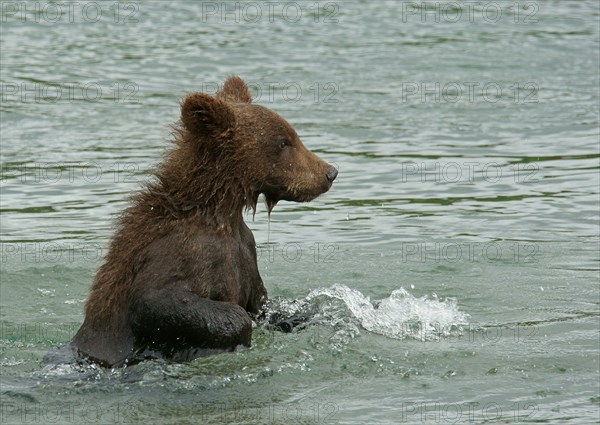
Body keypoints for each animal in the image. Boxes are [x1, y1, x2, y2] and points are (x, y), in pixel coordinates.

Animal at [70, 77, 338, 368]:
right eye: (283, 142)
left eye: (292, 135)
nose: (330, 172)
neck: (221, 211)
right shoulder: (180, 251)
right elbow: (156, 301)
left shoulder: (245, 252)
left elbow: (262, 303)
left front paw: (305, 314)